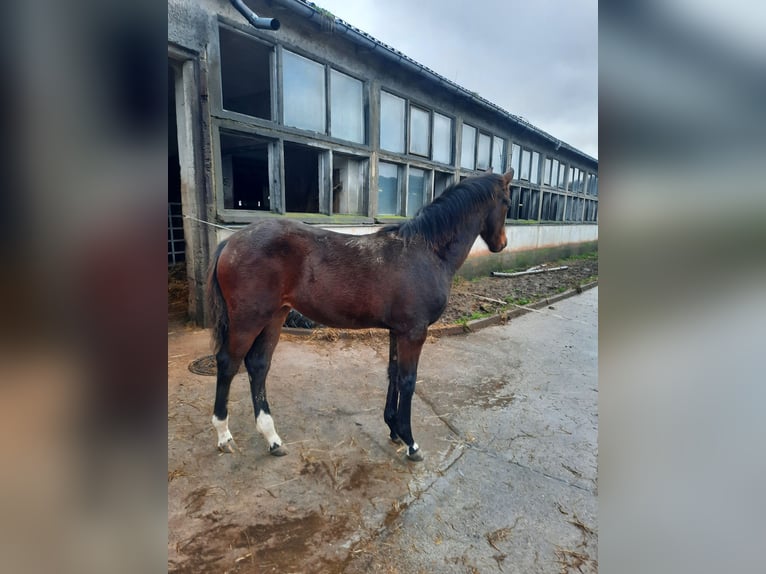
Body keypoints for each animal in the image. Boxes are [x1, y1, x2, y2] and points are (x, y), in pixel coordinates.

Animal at [207, 171, 512, 464]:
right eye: (508, 203)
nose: (502, 244)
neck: (426, 252)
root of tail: (230, 242)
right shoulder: (414, 332)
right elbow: (408, 380)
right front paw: (411, 442)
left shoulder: (397, 331)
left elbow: (393, 374)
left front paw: (393, 430)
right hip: (249, 319)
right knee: (228, 363)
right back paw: (223, 435)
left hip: (275, 315)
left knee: (258, 365)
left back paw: (272, 438)